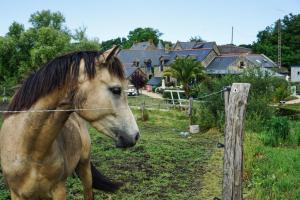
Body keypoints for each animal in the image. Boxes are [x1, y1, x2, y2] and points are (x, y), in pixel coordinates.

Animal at [0, 46, 139, 199]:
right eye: (116, 90)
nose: (135, 135)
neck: (29, 152)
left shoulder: (59, 190)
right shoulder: (16, 194)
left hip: (85, 167)